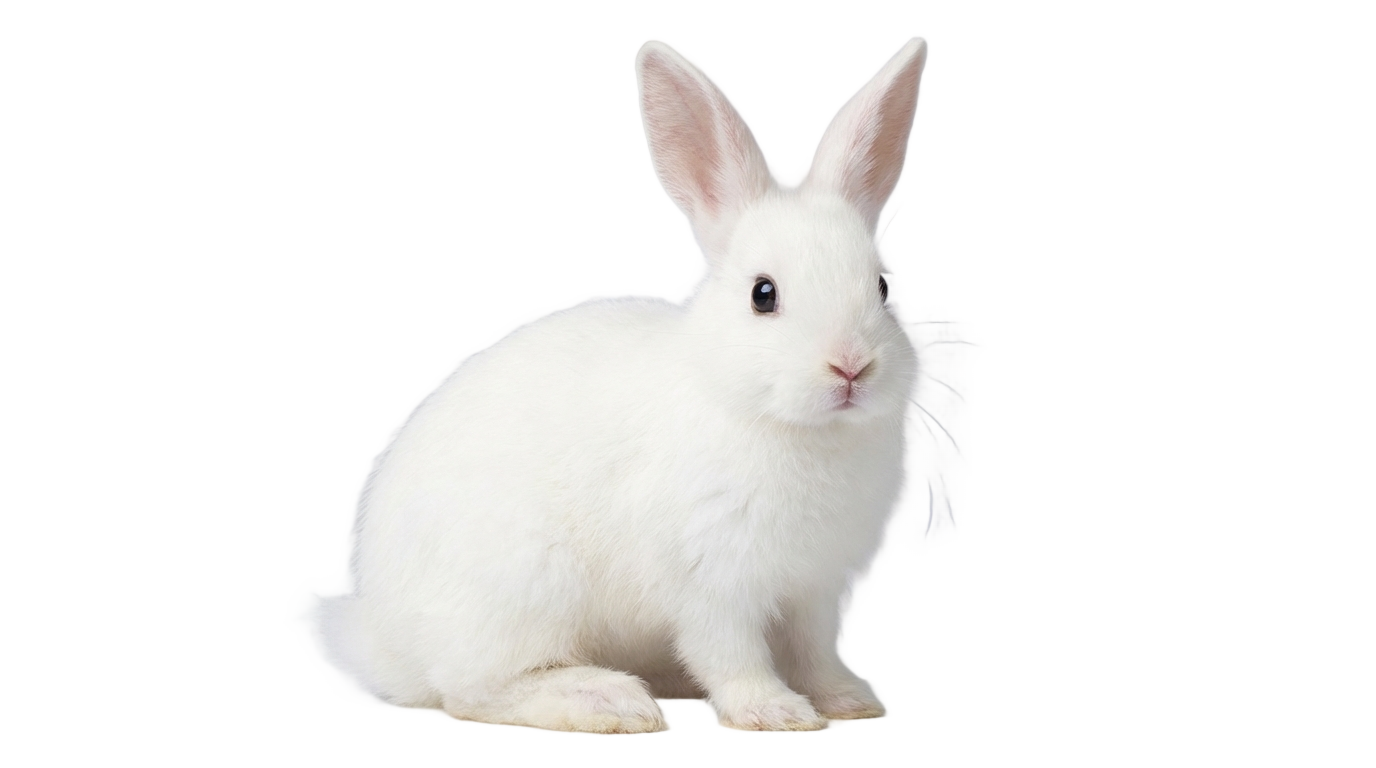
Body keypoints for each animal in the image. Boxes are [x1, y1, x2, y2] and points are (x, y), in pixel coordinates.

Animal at [337, 39, 925, 732]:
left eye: (883, 287)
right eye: (763, 294)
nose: (851, 367)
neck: (788, 426)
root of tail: (381, 639)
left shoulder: (813, 589)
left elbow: (814, 654)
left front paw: (848, 702)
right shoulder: (711, 586)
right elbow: (732, 656)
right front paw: (775, 712)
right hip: (525, 590)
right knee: (471, 690)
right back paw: (606, 700)